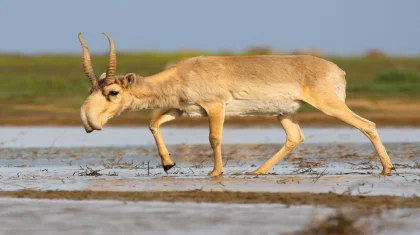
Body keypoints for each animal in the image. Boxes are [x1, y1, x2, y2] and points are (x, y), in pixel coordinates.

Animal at [78, 33, 394, 176]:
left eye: (113, 92)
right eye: (91, 88)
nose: (88, 122)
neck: (182, 73)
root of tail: (338, 70)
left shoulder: (215, 107)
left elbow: (214, 138)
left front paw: (215, 172)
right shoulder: (182, 110)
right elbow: (153, 123)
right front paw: (168, 164)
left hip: (330, 105)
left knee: (367, 124)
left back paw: (388, 168)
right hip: (284, 113)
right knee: (295, 137)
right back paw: (257, 171)